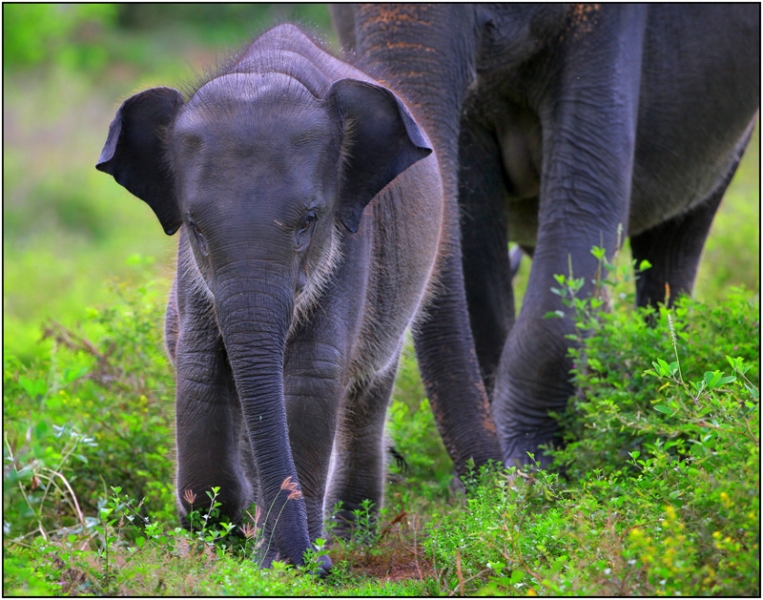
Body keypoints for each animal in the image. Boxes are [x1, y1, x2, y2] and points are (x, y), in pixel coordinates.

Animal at [95, 25, 444, 576]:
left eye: (309, 221)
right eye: (194, 227)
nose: (318, 567)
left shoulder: (353, 239)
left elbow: (312, 375)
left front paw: (284, 560)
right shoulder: (192, 276)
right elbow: (201, 369)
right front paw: (220, 541)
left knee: (368, 390)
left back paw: (350, 536)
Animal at [332, 3, 760, 468]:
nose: (491, 472)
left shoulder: (612, 22)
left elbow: (583, 195)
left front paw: (530, 467)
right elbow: (472, 231)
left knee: (676, 241)